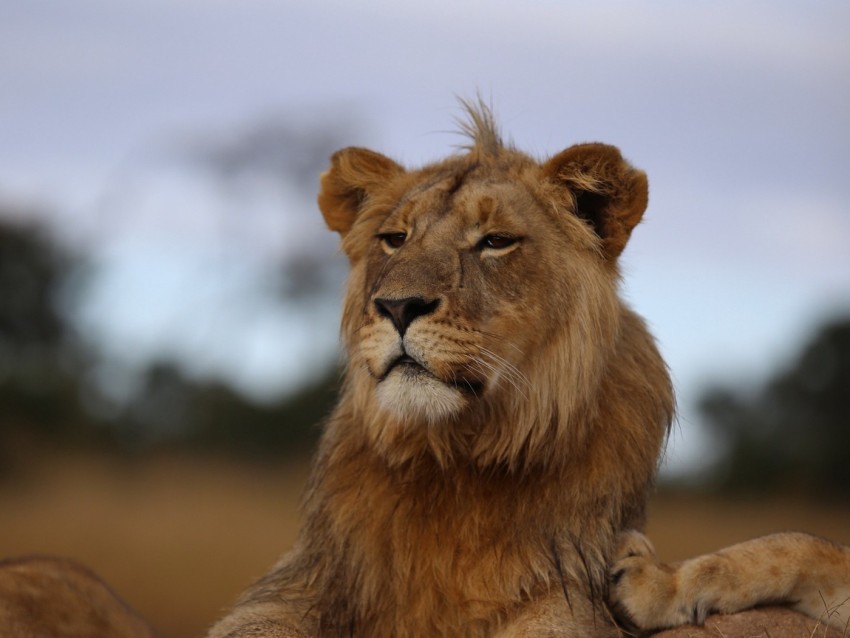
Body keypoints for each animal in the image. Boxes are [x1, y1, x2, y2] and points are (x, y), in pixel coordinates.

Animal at [205, 102, 848, 636]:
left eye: (495, 241)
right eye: (394, 238)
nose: (397, 307)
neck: (454, 463)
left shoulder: (561, 601)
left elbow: (799, 542)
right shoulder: (293, 595)